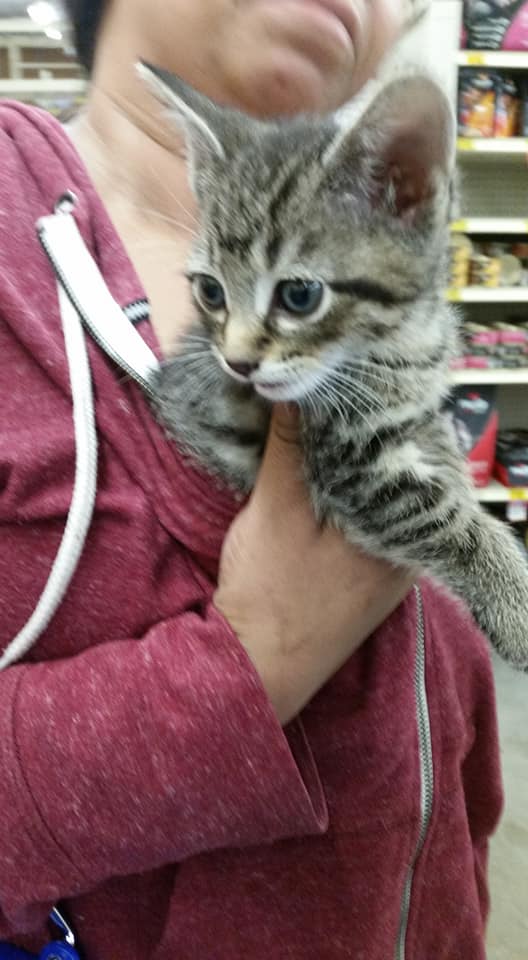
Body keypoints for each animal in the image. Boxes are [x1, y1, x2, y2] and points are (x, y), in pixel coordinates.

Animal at [139, 62, 528, 669]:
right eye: (211, 291)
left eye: (299, 295)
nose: (237, 363)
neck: (397, 344)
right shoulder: (349, 465)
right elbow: (436, 514)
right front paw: (513, 597)